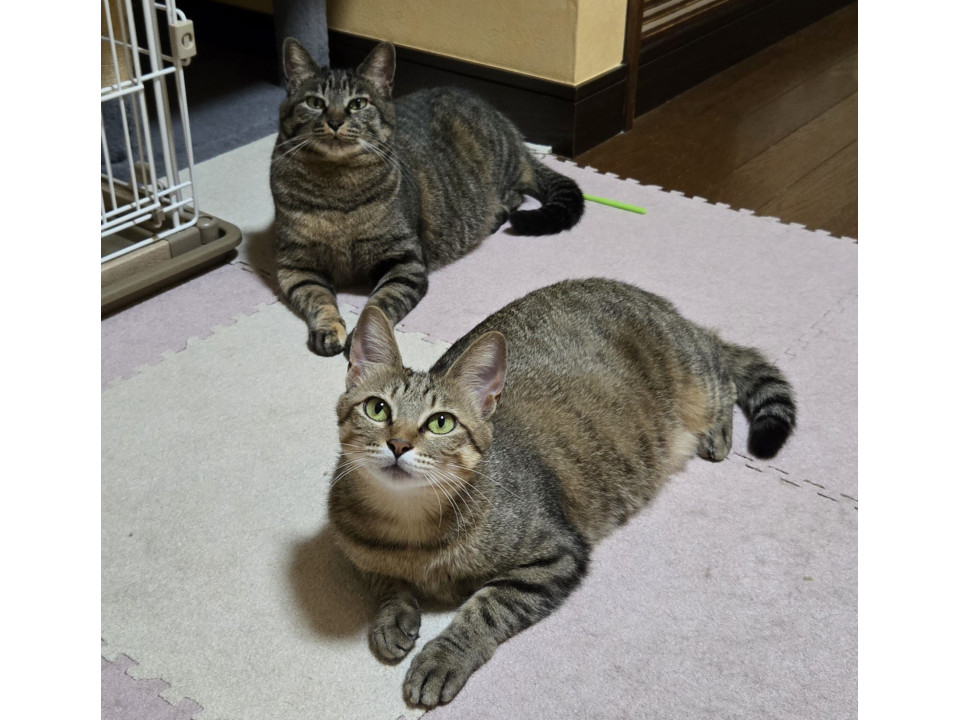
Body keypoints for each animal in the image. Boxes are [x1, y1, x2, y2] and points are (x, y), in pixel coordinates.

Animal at [269, 39, 584, 357]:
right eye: (314, 102)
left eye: (358, 103)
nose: (334, 121)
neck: (336, 189)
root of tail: (514, 133)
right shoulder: (296, 265)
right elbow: (319, 299)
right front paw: (329, 329)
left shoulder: (405, 262)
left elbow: (379, 304)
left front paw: (365, 337)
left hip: (498, 177)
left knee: (513, 198)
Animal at [327, 277, 797, 707]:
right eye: (377, 409)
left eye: (441, 422)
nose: (398, 444)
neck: (408, 525)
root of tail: (666, 307)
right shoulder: (355, 550)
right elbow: (381, 578)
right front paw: (393, 615)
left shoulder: (556, 554)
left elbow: (486, 608)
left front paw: (443, 657)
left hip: (697, 377)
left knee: (722, 371)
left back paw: (717, 431)